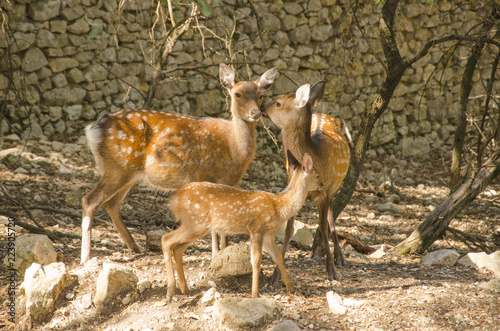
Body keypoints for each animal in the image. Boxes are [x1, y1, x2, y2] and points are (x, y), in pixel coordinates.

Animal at [80, 64, 280, 264]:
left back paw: (134, 247)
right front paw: (216, 254)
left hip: (128, 172)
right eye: (237, 94)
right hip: (119, 165)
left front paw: (224, 251)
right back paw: (86, 256)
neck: (233, 149)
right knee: (90, 200)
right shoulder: (207, 177)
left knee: (111, 203)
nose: (255, 113)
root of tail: (93, 129)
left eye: (260, 95)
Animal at [162, 152, 322, 302]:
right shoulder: (256, 228)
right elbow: (256, 260)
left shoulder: (268, 234)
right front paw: (255, 294)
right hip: (196, 222)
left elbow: (278, 257)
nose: (322, 185)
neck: (279, 206)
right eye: (317, 174)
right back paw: (170, 292)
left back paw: (185, 290)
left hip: (196, 225)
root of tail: (173, 199)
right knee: (166, 239)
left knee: (178, 249)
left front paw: (292, 289)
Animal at [262, 81, 352, 284]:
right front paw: (275, 275)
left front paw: (332, 272)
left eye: (278, 103)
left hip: (334, 188)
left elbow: (324, 227)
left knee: (330, 219)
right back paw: (319, 253)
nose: (261, 106)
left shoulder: (325, 191)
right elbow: (288, 230)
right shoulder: (292, 187)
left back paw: (339, 257)